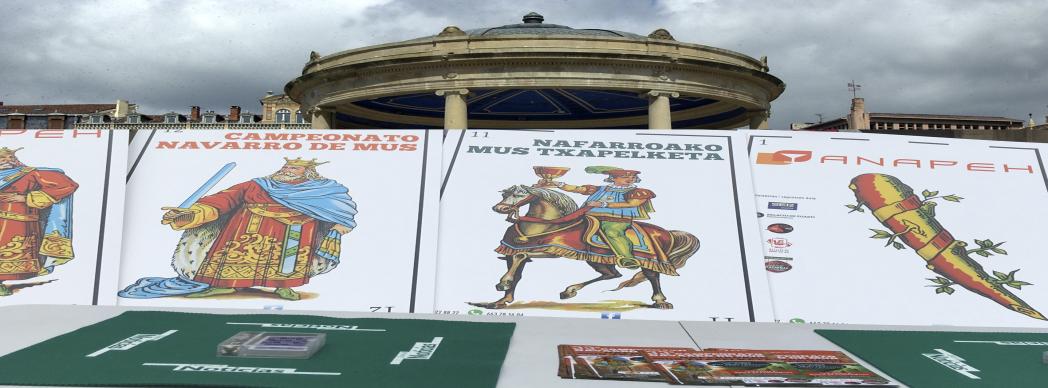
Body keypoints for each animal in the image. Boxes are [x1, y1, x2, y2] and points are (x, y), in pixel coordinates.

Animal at [469, 184, 700, 308]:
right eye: (504, 194)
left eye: (518, 194)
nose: (499, 208)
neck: (543, 225)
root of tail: (666, 232)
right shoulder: (510, 251)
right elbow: (517, 271)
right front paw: (502, 299)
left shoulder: (552, 251)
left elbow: (522, 258)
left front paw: (503, 283)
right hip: (597, 260)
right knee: (612, 274)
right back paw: (569, 291)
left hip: (648, 259)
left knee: (652, 276)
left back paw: (660, 301)